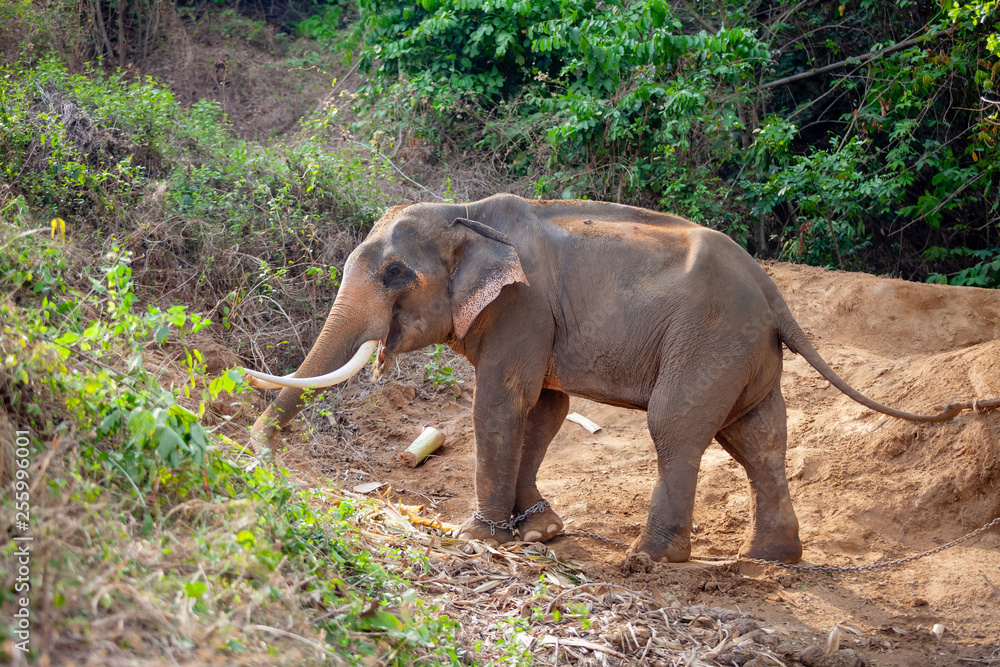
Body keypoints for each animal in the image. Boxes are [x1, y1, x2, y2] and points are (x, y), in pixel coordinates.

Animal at [244, 194, 997, 564]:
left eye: (396, 273)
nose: (257, 449)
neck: (465, 213)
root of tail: (774, 291)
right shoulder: (540, 319)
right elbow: (546, 407)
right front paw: (540, 532)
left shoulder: (523, 309)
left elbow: (504, 402)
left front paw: (478, 536)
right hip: (748, 356)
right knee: (759, 442)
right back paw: (772, 560)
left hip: (711, 343)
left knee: (678, 428)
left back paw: (650, 558)